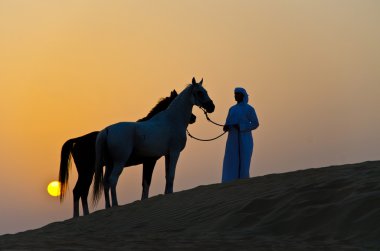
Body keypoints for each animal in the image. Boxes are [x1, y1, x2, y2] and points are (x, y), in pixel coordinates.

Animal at [59, 89, 197, 217]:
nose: (193, 118)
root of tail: (78, 140)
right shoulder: (150, 161)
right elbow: (146, 182)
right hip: (87, 172)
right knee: (80, 191)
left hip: (88, 172)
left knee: (81, 191)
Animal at [93, 78, 214, 208]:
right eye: (199, 92)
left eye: (206, 91)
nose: (212, 107)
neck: (172, 120)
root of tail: (107, 130)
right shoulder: (174, 152)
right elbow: (171, 175)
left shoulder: (167, 155)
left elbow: (167, 175)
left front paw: (167, 193)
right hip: (119, 162)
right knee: (113, 180)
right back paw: (116, 204)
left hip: (109, 164)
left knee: (106, 183)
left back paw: (108, 206)